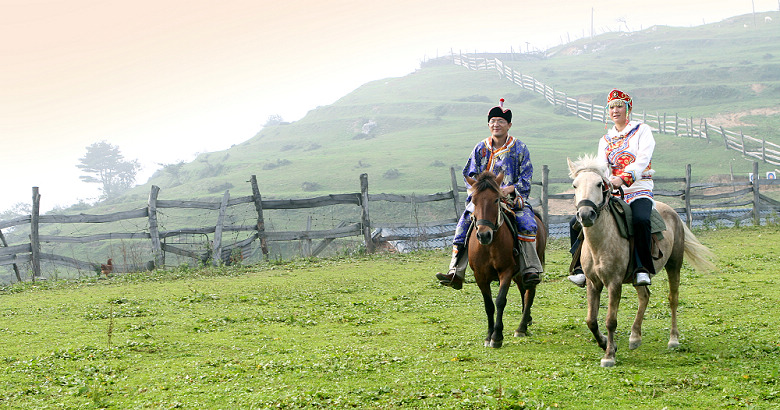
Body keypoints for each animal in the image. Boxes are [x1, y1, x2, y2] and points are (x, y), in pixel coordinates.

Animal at [466, 171, 544, 348]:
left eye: (496, 199)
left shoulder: (506, 272)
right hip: (519, 274)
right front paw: (488, 336)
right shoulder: (480, 276)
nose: (484, 235)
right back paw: (526, 321)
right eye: (473, 200)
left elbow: (500, 300)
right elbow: (488, 305)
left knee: (530, 293)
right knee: (523, 291)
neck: (489, 246)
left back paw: (521, 327)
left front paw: (497, 337)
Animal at [568, 155, 712, 366]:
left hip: (674, 264)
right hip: (639, 275)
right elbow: (591, 320)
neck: (600, 243)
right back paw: (635, 337)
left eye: (599, 184)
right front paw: (605, 343)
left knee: (673, 299)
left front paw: (609, 355)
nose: (585, 215)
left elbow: (611, 320)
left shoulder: (614, 283)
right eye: (575, 185)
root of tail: (674, 213)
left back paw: (673, 339)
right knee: (644, 296)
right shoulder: (593, 283)